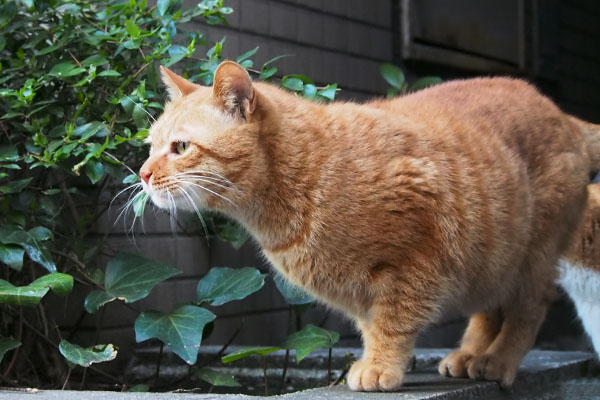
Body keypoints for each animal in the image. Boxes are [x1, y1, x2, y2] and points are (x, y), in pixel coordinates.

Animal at [139, 61, 600, 390]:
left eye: (180, 147)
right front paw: (373, 358)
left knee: (527, 311)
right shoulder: (357, 290)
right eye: (150, 146)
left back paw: (496, 360)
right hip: (493, 258)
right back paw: (468, 355)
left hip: (532, 257)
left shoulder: (415, 261)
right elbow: (369, 324)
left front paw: (381, 367)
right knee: (490, 309)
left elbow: (394, 320)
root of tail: (562, 114)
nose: (142, 174)